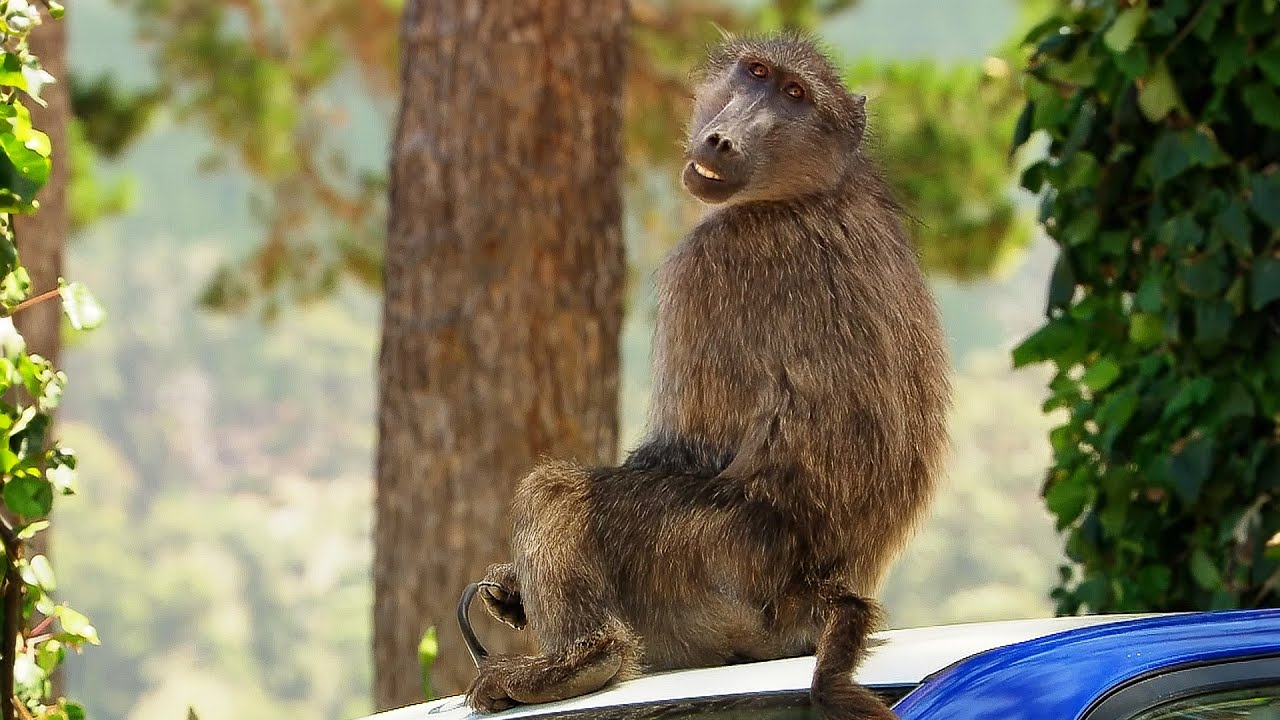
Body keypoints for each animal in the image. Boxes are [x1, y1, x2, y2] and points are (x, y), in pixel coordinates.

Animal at [464, 32, 951, 720]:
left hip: (706, 555)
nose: (722, 139)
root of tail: (813, 590)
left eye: (795, 94)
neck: (811, 190)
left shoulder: (710, 261)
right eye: (757, 74)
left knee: (555, 490)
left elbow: (687, 449)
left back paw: (582, 663)